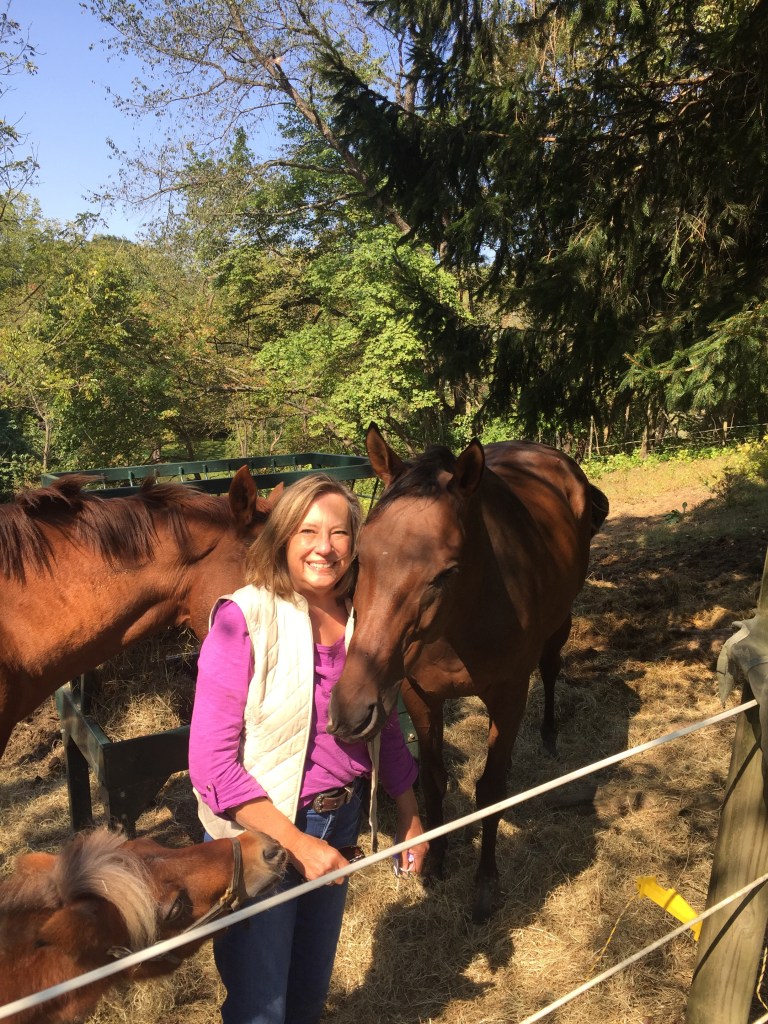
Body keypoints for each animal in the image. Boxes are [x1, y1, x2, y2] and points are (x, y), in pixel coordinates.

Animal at [328, 423, 609, 922]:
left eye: (445, 573)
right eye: (361, 558)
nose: (350, 710)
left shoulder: (509, 694)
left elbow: (491, 791)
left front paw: (485, 884)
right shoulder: (420, 696)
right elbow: (433, 781)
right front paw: (436, 861)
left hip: (560, 623)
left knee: (551, 669)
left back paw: (549, 734)